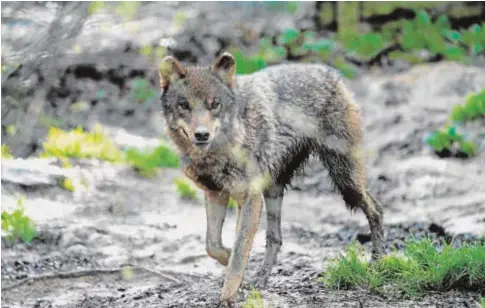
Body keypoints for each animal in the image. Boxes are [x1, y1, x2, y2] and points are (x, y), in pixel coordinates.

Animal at [159, 52, 386, 306]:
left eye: (214, 104)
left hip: (346, 182)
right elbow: (213, 246)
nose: (202, 135)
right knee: (274, 238)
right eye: (184, 105)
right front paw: (234, 267)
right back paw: (261, 279)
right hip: (274, 190)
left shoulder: (249, 198)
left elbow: (239, 253)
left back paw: (378, 260)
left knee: (376, 208)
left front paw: (229, 295)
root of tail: (328, 71)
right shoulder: (216, 193)